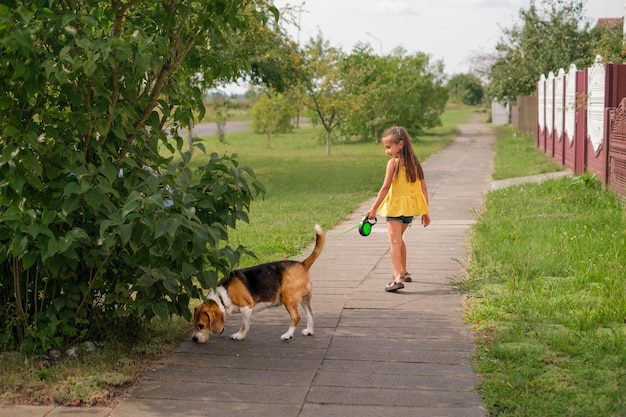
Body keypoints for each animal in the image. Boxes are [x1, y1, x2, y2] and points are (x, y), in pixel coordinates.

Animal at [191, 224, 324, 342]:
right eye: (194, 324)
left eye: (201, 325)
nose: (194, 339)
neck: (221, 297)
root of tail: (302, 264)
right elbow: (247, 324)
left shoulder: (246, 307)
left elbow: (243, 325)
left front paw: (239, 336)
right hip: (305, 299)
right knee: (311, 314)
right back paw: (309, 331)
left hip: (288, 299)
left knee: (296, 317)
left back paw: (287, 335)